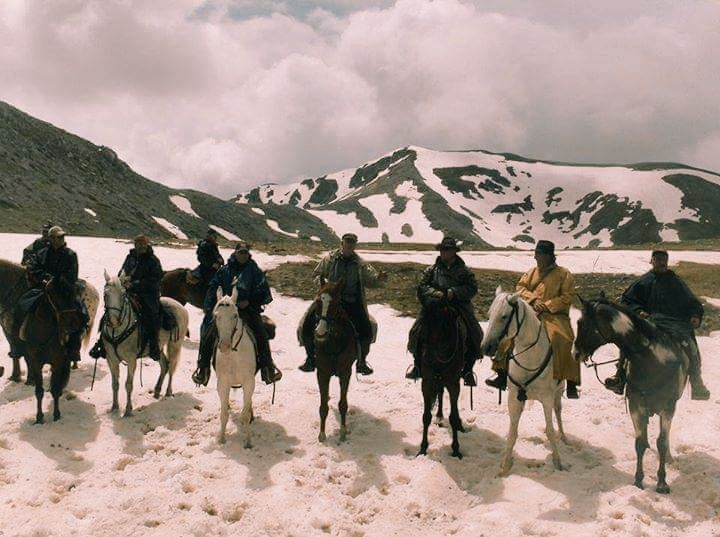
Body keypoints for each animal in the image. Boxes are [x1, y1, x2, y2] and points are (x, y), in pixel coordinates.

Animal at [104, 270, 190, 416]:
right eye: (105, 295)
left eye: (123, 295)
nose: (114, 320)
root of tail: (180, 306)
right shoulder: (111, 359)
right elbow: (115, 384)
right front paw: (114, 407)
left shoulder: (131, 360)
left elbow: (128, 384)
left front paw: (128, 410)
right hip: (157, 348)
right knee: (165, 365)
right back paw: (157, 390)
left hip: (175, 345)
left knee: (172, 367)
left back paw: (168, 392)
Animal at [212, 286, 258, 446]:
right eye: (216, 316)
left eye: (235, 315)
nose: (224, 346)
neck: (234, 355)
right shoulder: (223, 383)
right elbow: (224, 414)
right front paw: (221, 439)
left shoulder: (249, 382)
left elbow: (245, 414)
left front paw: (248, 442)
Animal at [316, 278, 358, 442]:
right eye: (317, 302)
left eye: (334, 304)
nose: (320, 333)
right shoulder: (322, 373)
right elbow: (323, 406)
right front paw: (322, 434)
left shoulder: (346, 372)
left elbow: (343, 404)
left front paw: (343, 430)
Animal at [478, 286, 568, 476]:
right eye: (489, 314)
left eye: (504, 316)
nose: (486, 347)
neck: (530, 357)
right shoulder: (514, 398)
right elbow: (512, 433)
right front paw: (505, 467)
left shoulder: (547, 399)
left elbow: (550, 431)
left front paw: (558, 463)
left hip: (559, 392)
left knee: (558, 412)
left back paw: (563, 437)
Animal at [572, 300, 688, 492]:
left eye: (584, 325)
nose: (575, 353)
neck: (652, 361)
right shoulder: (636, 406)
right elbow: (640, 443)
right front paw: (638, 480)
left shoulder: (668, 408)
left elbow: (662, 443)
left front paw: (662, 483)